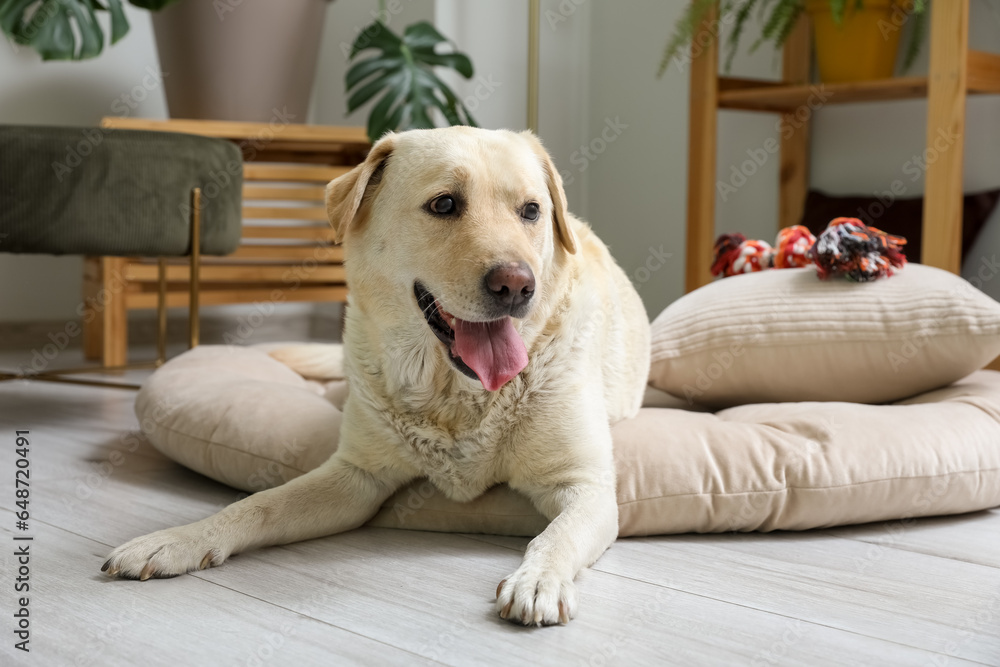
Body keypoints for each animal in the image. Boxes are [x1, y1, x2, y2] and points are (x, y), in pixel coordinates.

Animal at [101, 128, 648, 628]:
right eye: (445, 204)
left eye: (531, 211)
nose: (517, 285)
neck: (454, 392)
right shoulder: (355, 477)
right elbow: (256, 505)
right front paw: (176, 539)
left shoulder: (586, 486)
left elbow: (554, 536)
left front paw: (536, 580)